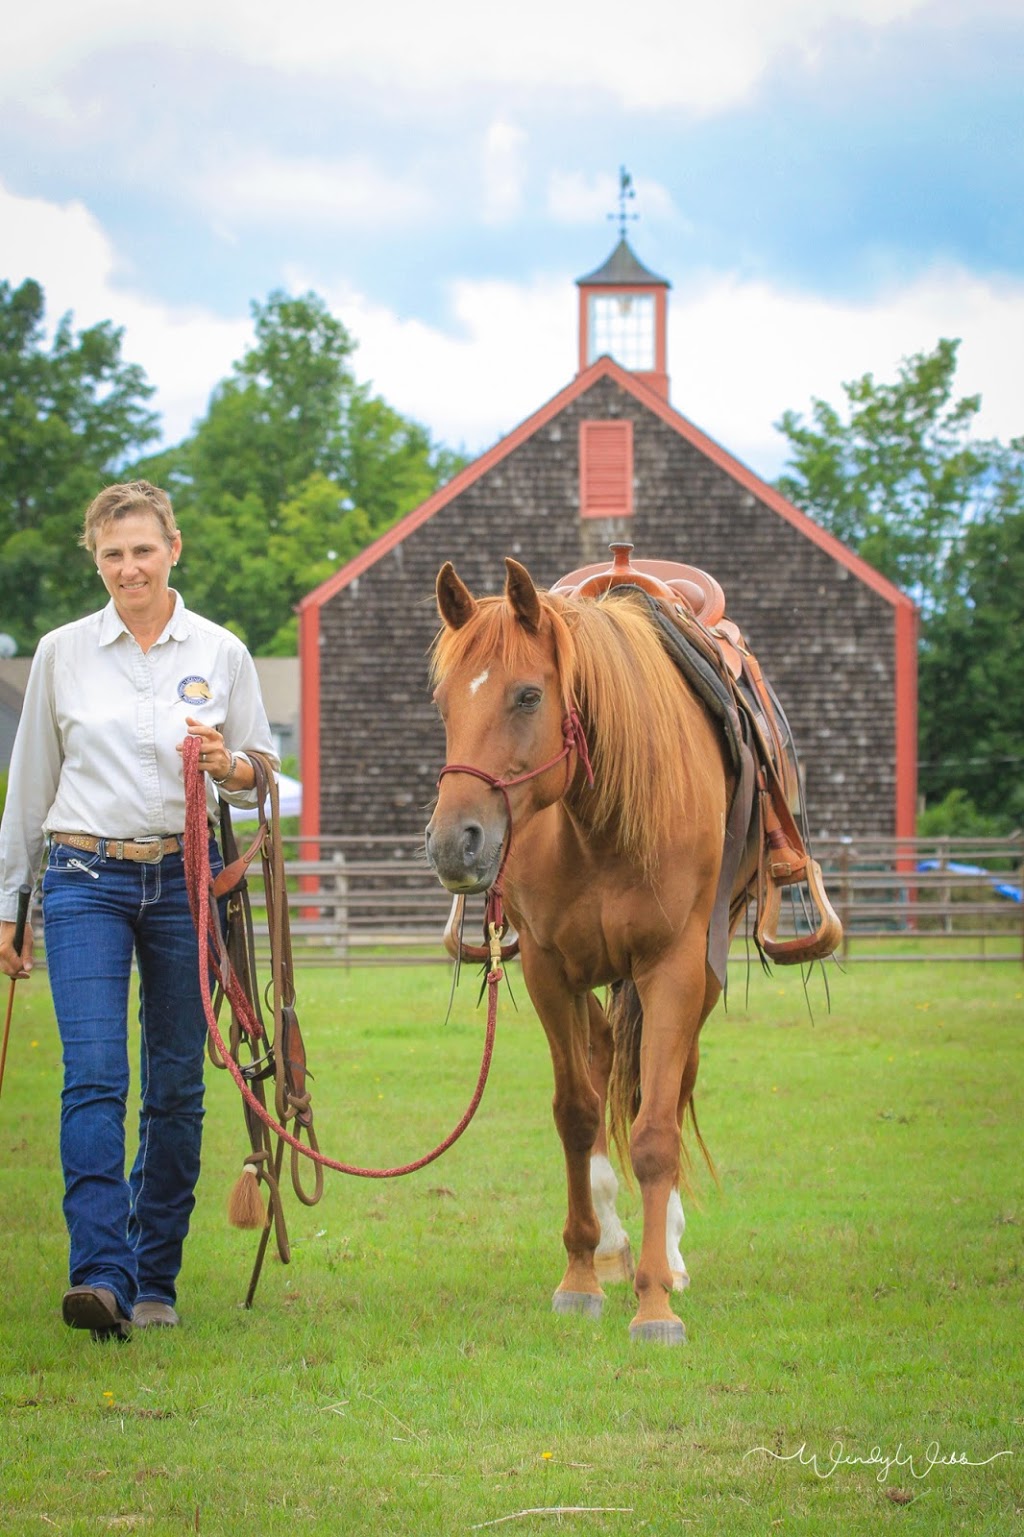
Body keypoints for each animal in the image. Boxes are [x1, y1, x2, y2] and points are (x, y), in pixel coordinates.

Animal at [421, 562, 756, 1346]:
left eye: (528, 694)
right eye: (445, 703)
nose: (456, 844)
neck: (600, 821)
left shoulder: (673, 970)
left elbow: (656, 1129)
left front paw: (655, 1303)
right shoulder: (550, 971)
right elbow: (576, 1114)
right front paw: (580, 1275)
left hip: (695, 980)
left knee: (666, 1087)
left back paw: (667, 1256)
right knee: (604, 1067)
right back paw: (611, 1245)